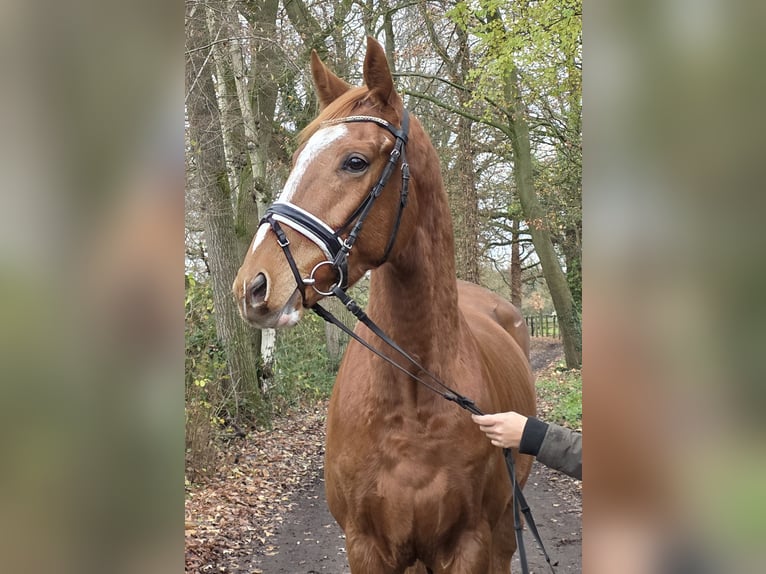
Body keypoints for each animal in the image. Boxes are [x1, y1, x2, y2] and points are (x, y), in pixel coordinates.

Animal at [233, 37, 536, 574]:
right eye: (296, 158)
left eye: (354, 161)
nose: (254, 286)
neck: (412, 397)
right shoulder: (366, 546)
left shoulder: (469, 546)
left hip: (503, 532)